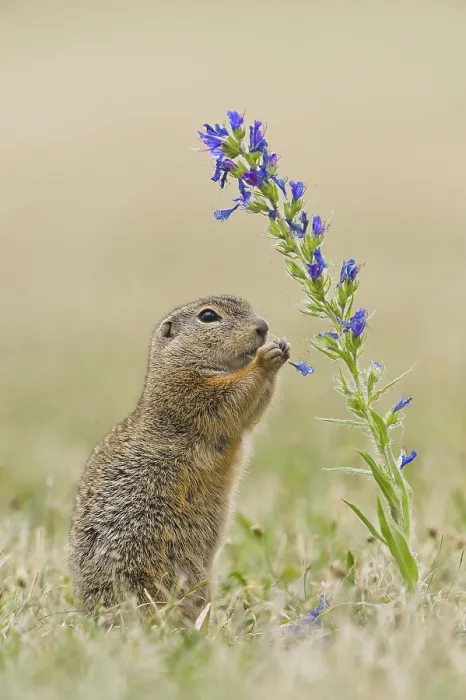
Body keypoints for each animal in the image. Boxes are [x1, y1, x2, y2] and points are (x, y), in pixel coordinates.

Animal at [69, 295, 290, 624]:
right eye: (208, 316)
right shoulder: (190, 392)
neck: (175, 365)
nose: (262, 327)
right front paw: (266, 358)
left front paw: (282, 348)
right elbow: (231, 398)